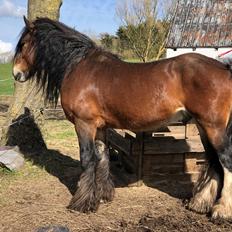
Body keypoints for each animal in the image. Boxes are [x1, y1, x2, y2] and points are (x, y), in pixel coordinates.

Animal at [13, 16, 232, 219]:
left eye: (23, 44)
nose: (16, 73)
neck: (79, 67)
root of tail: (224, 69)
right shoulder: (100, 127)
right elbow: (102, 157)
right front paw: (102, 196)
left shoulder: (84, 124)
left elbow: (87, 159)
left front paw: (82, 203)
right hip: (203, 127)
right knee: (214, 161)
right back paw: (200, 203)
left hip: (213, 127)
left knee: (226, 161)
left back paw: (221, 211)